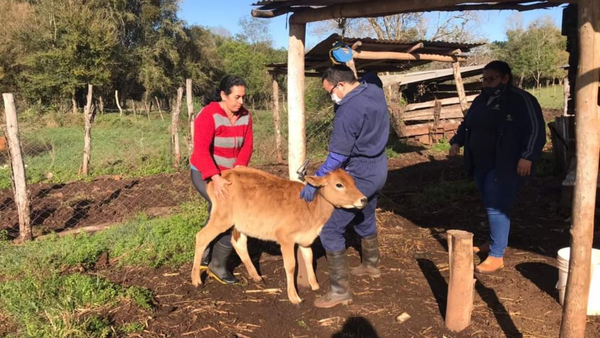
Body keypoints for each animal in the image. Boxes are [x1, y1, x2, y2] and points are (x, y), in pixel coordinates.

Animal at [191, 166, 366, 304]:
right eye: (339, 184)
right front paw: (294, 297)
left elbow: (309, 258)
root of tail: (223, 175)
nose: (363, 199)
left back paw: (257, 277)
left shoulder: (305, 239)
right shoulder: (285, 237)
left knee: (239, 243)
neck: (312, 209)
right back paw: (196, 280)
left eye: (353, 182)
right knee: (201, 237)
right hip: (221, 217)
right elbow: (291, 265)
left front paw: (314, 285)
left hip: (240, 223)